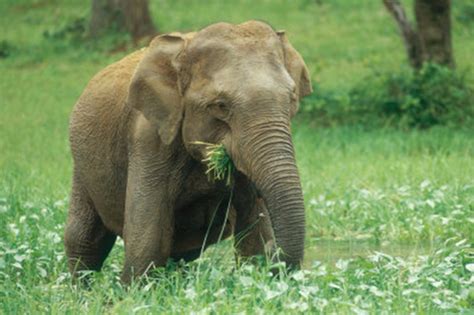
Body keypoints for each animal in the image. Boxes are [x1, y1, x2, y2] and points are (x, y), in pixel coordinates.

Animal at [65, 20, 312, 284]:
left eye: (292, 97)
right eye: (220, 106)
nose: (278, 262)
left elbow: (253, 232)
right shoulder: (149, 141)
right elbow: (147, 240)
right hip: (82, 167)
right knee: (85, 240)